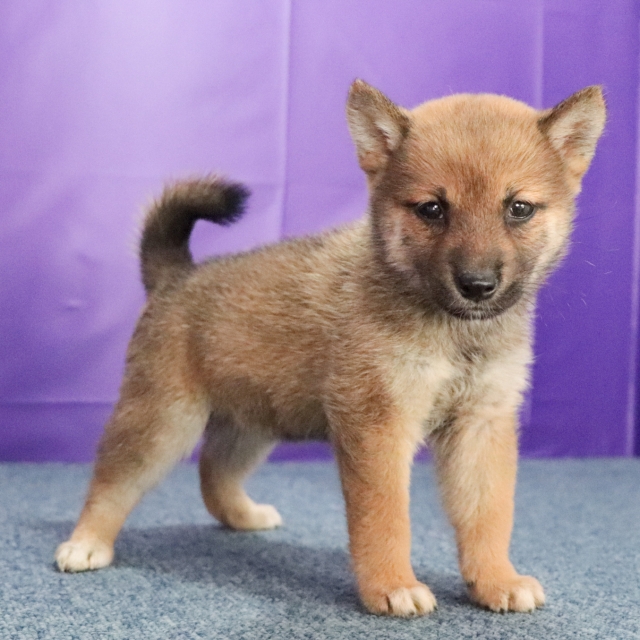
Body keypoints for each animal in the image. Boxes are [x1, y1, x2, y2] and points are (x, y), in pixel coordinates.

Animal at [55, 79, 605, 617]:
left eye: (518, 209)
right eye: (432, 209)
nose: (477, 285)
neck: (452, 330)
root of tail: (176, 276)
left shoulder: (481, 425)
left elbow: (488, 515)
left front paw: (495, 580)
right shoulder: (378, 424)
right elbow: (385, 518)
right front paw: (392, 586)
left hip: (250, 424)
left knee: (213, 472)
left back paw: (242, 516)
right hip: (162, 421)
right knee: (111, 482)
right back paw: (86, 543)